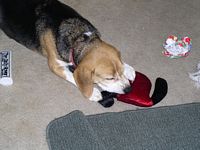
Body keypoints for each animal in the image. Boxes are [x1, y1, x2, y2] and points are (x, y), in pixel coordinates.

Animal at [0, 0, 136, 102]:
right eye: (109, 78)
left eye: (121, 71)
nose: (128, 90)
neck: (79, 38)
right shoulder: (55, 65)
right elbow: (72, 76)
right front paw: (93, 93)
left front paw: (128, 69)